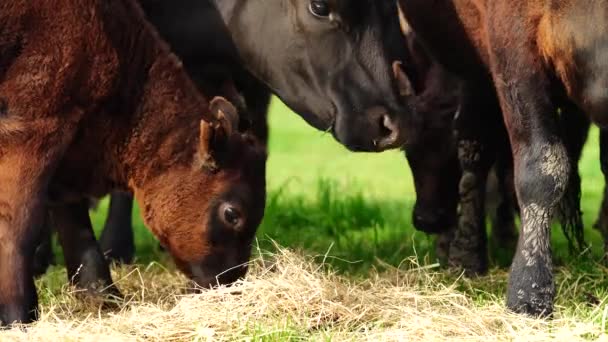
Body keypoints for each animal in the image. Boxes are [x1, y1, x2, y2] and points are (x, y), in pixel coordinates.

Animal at [0, 0, 266, 324]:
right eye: (232, 214)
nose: (232, 282)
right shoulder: (34, 126)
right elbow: (20, 224)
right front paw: (16, 315)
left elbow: (76, 224)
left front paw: (102, 295)